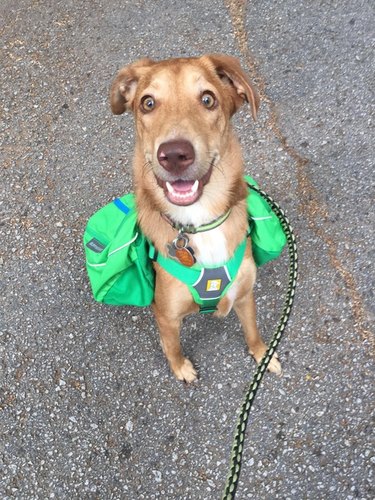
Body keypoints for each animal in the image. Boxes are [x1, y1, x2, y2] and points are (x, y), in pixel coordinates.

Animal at [110, 54, 280, 380]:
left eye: (208, 99)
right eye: (148, 103)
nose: (174, 155)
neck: (200, 222)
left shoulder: (244, 295)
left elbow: (253, 331)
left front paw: (263, 355)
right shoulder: (166, 314)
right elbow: (173, 346)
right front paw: (181, 368)